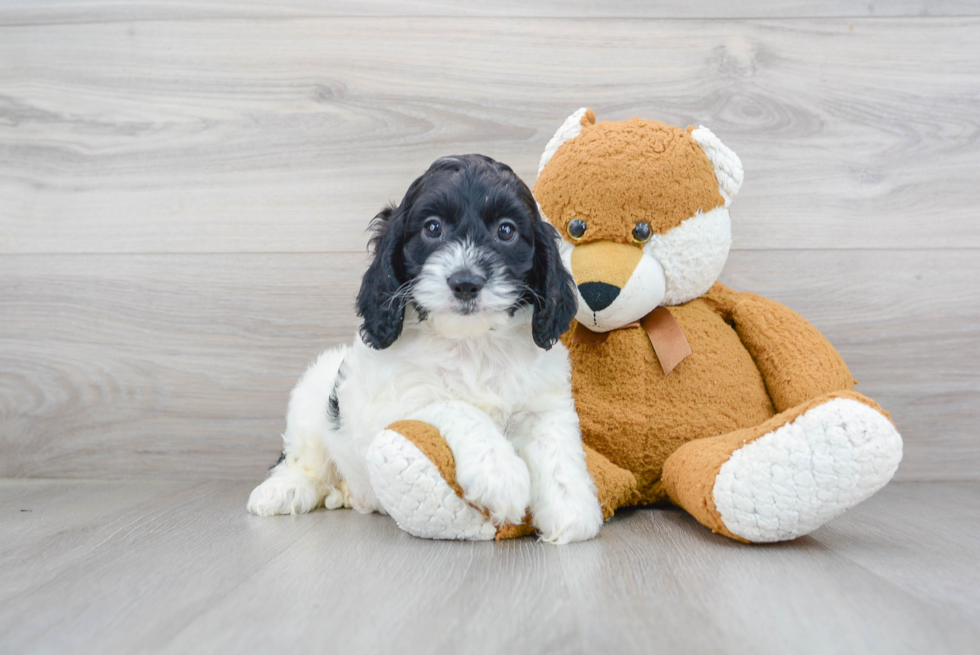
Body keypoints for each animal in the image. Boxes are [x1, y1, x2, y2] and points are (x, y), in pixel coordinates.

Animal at [249, 154, 600, 544]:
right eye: (433, 229)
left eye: (506, 231)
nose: (466, 282)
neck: (472, 342)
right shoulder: (394, 403)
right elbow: (455, 406)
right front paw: (500, 472)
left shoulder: (544, 401)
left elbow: (556, 446)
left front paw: (572, 509)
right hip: (312, 400)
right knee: (300, 459)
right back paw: (285, 490)